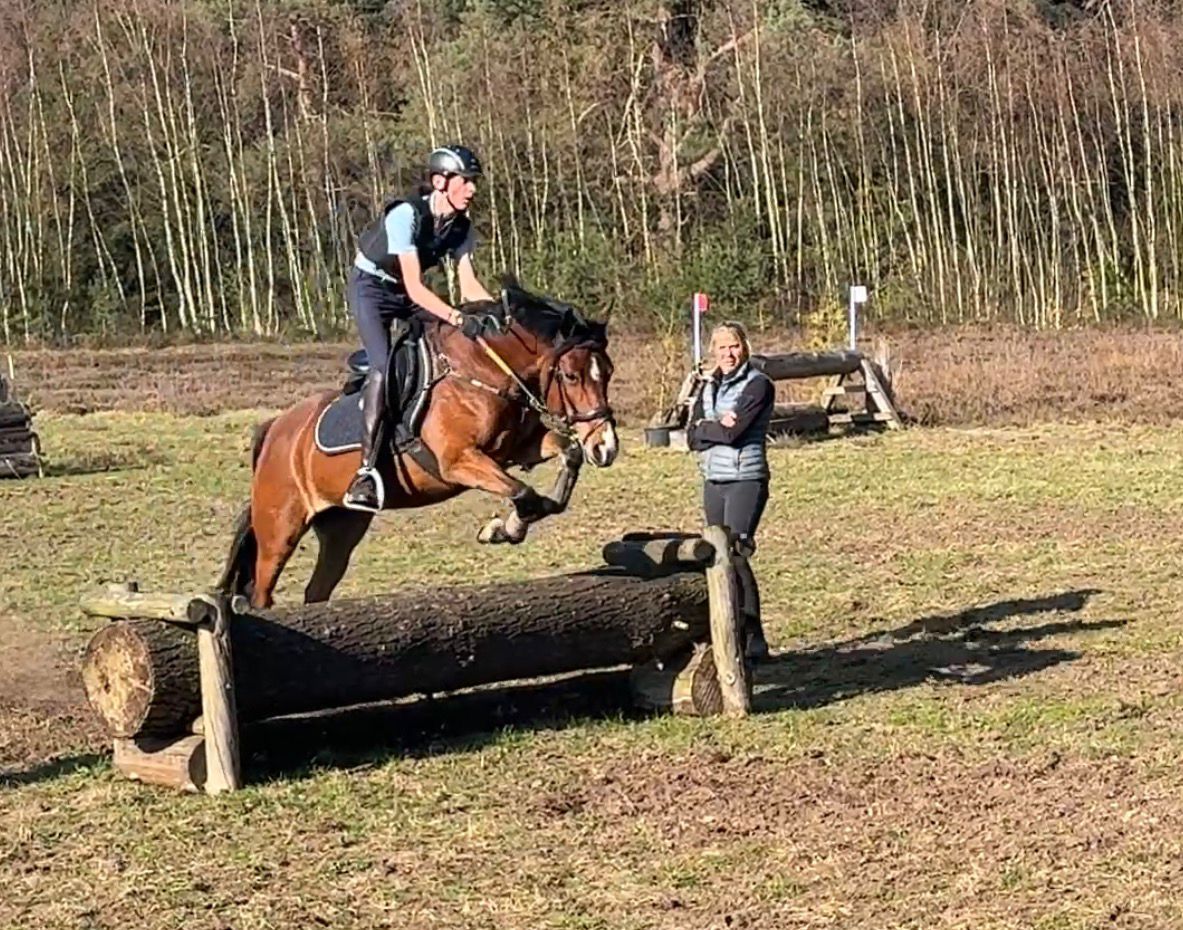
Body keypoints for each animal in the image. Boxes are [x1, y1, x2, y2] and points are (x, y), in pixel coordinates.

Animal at [218, 284, 618, 609]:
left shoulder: (518, 449)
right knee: (262, 592)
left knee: (317, 590)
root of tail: (274, 429)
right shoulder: (459, 461)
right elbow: (523, 492)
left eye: (608, 372)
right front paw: (504, 528)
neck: (484, 373)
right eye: (571, 376)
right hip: (280, 530)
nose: (607, 447)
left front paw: (517, 522)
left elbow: (565, 459)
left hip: (341, 528)